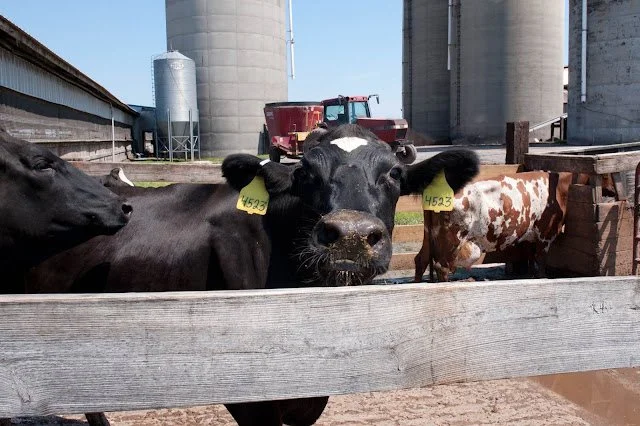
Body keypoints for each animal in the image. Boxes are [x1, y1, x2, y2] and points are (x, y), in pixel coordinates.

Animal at [414, 171, 576, 282]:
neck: (559, 188)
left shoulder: (532, 236)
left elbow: (532, 257)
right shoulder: (546, 233)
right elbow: (541, 260)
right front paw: (542, 278)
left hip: (430, 237)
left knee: (421, 260)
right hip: (452, 242)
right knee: (442, 267)